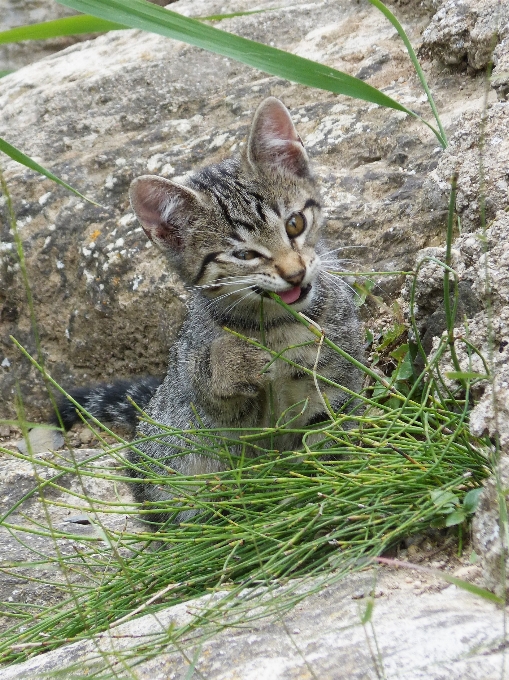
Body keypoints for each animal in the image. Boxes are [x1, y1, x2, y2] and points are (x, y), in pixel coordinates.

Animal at [57, 97, 364, 520]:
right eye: (244, 255)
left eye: (295, 223)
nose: (295, 273)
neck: (279, 325)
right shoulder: (213, 410)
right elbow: (210, 380)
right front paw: (235, 360)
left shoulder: (336, 383)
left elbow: (329, 440)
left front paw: (327, 489)